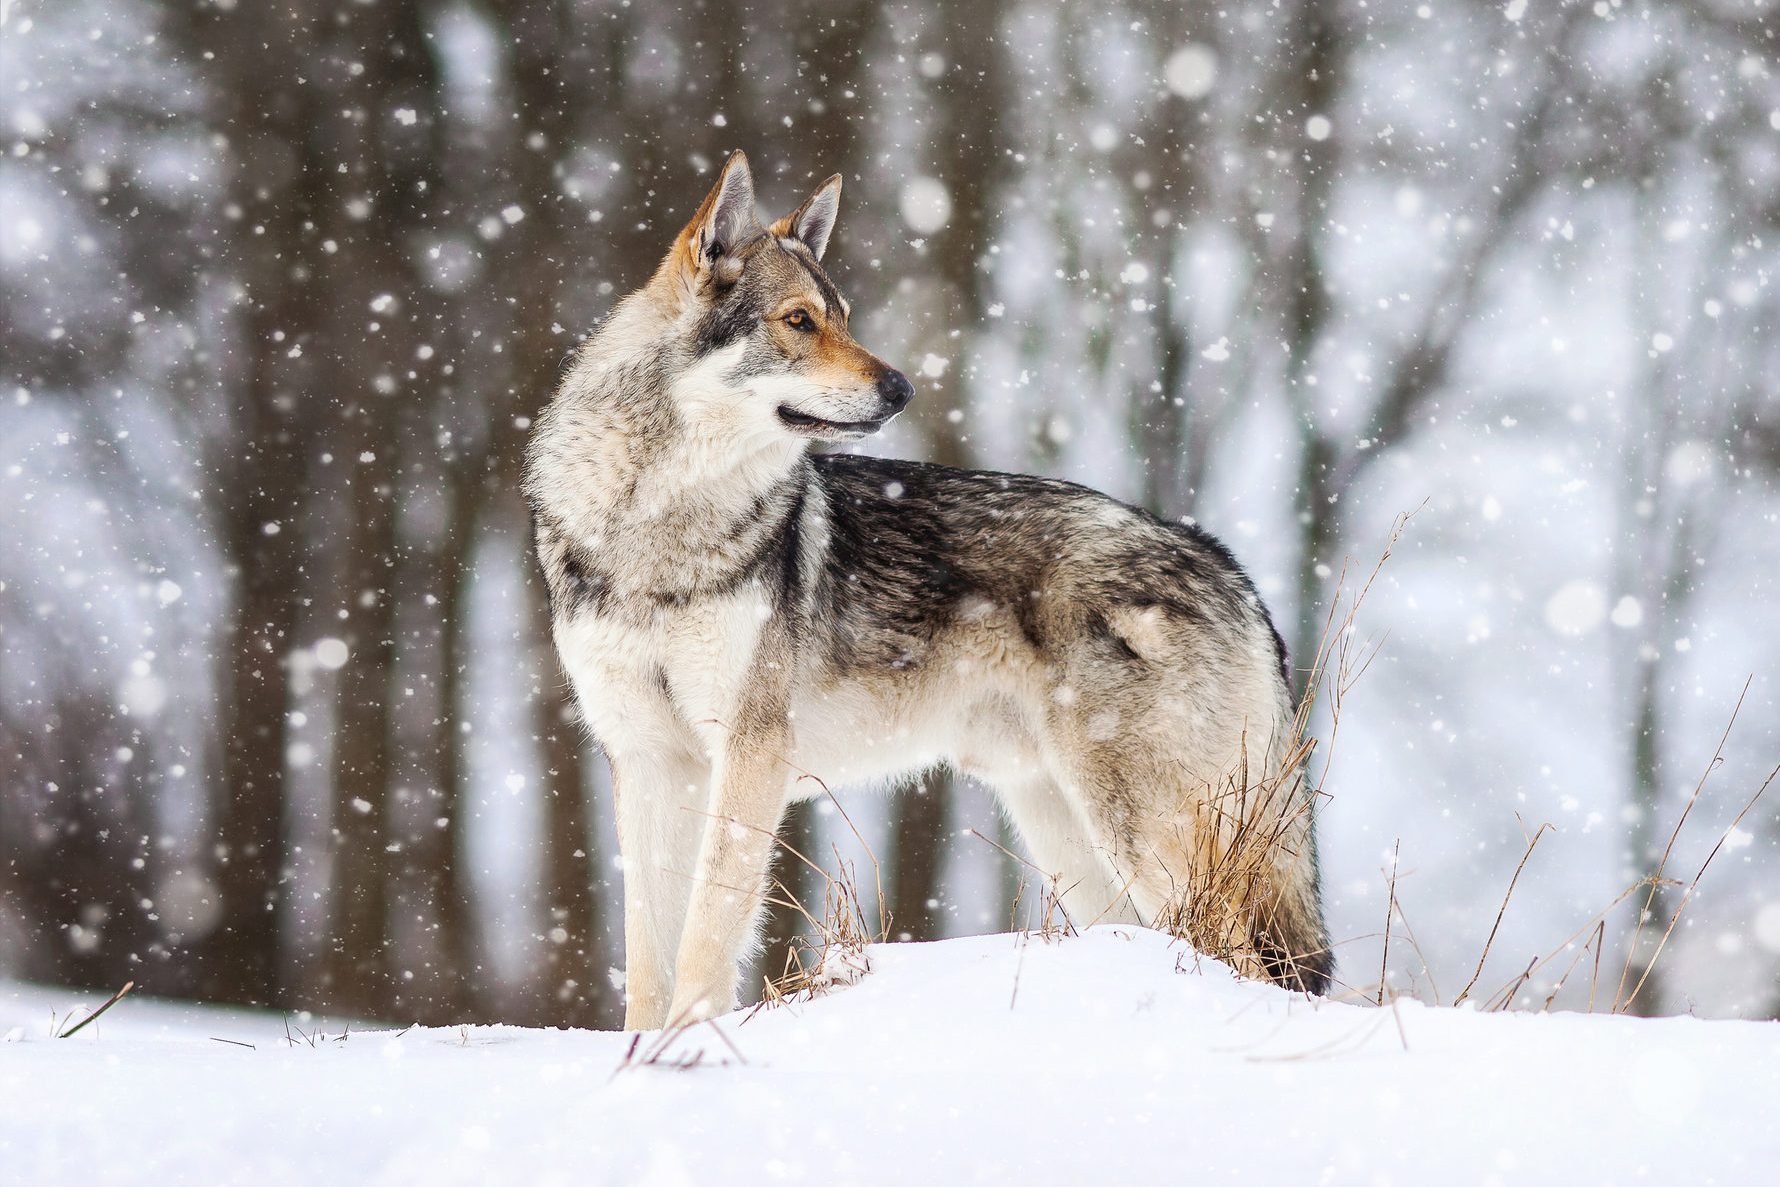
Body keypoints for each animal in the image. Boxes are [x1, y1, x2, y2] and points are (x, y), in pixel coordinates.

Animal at [519, 151, 1331, 1032]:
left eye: (843, 316)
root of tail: (1226, 562)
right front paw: (643, 1051)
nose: (902, 387)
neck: (653, 525)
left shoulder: (749, 752)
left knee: (1246, 962)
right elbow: (647, 953)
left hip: (1149, 837)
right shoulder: (646, 759)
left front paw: (689, 1045)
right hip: (1070, 834)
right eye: (798, 321)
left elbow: (707, 933)